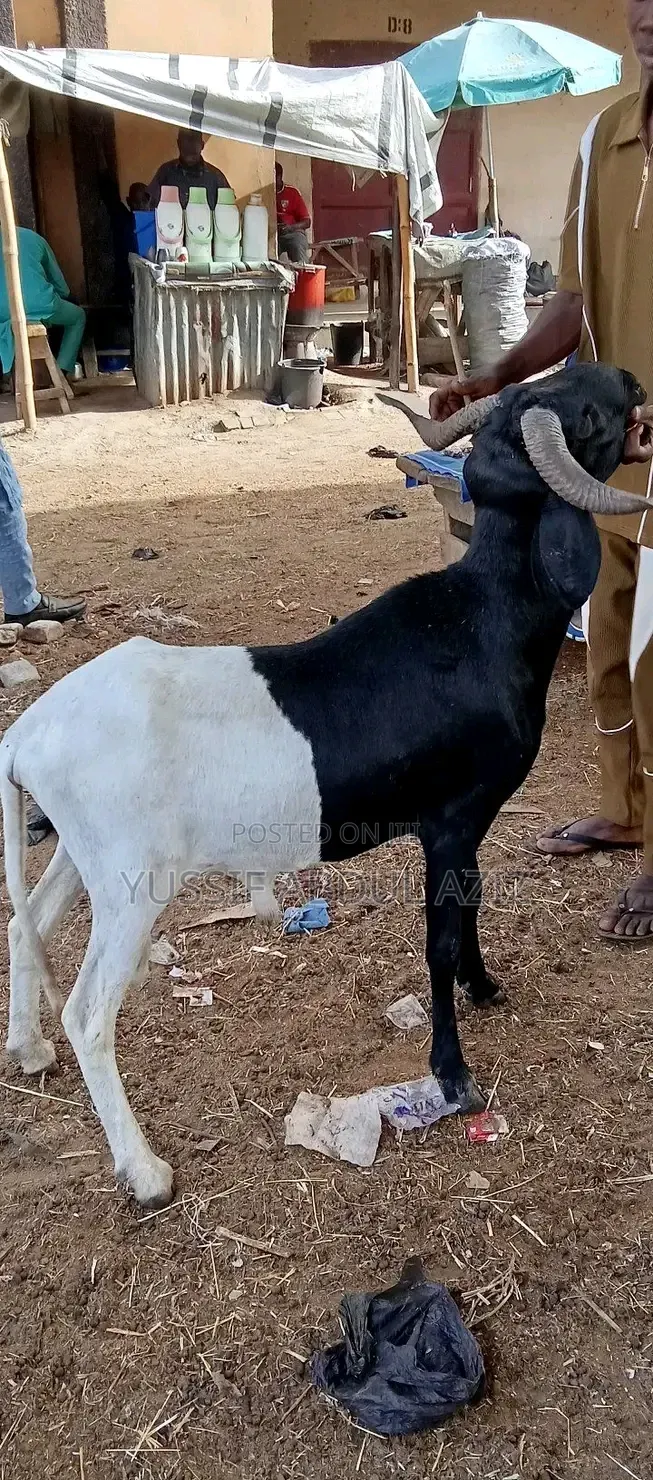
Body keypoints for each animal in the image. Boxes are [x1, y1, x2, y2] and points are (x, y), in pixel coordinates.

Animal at [2, 362, 652, 1209]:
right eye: (583, 415)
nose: (628, 378)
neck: (484, 615)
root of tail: (23, 739)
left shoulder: (470, 823)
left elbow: (470, 908)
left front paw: (484, 987)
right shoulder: (448, 820)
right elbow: (439, 938)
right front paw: (453, 1077)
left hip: (78, 856)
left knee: (26, 929)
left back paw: (28, 1050)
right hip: (129, 882)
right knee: (86, 1013)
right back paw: (144, 1172)